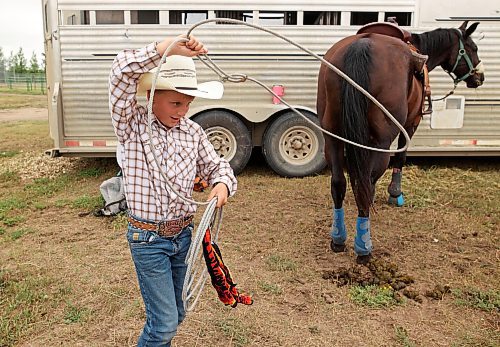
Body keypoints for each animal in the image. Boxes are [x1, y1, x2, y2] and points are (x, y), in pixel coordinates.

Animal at [316, 21, 484, 264]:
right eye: (473, 48)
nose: (479, 77)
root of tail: (361, 45)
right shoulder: (411, 122)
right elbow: (401, 157)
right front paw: (395, 193)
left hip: (332, 137)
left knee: (339, 183)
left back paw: (338, 239)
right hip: (382, 142)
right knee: (367, 184)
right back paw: (364, 247)